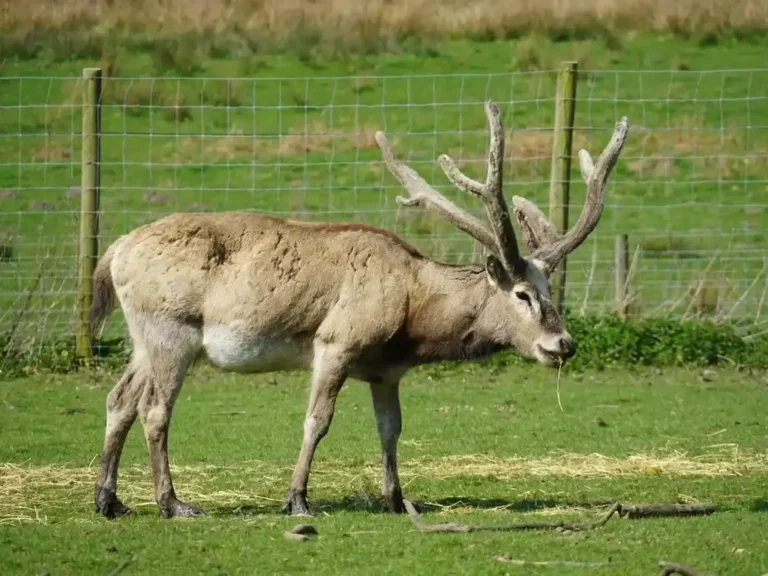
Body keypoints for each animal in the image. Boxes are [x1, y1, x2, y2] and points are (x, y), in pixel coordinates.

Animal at [89, 100, 628, 519]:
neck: (410, 318)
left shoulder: (386, 371)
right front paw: (297, 499)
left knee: (119, 399)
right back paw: (173, 504)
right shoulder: (336, 342)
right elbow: (317, 420)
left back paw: (109, 501)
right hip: (171, 330)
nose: (563, 344)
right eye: (521, 294)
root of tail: (114, 252)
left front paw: (397, 499)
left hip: (142, 338)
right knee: (155, 408)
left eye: (549, 288)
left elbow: (391, 428)